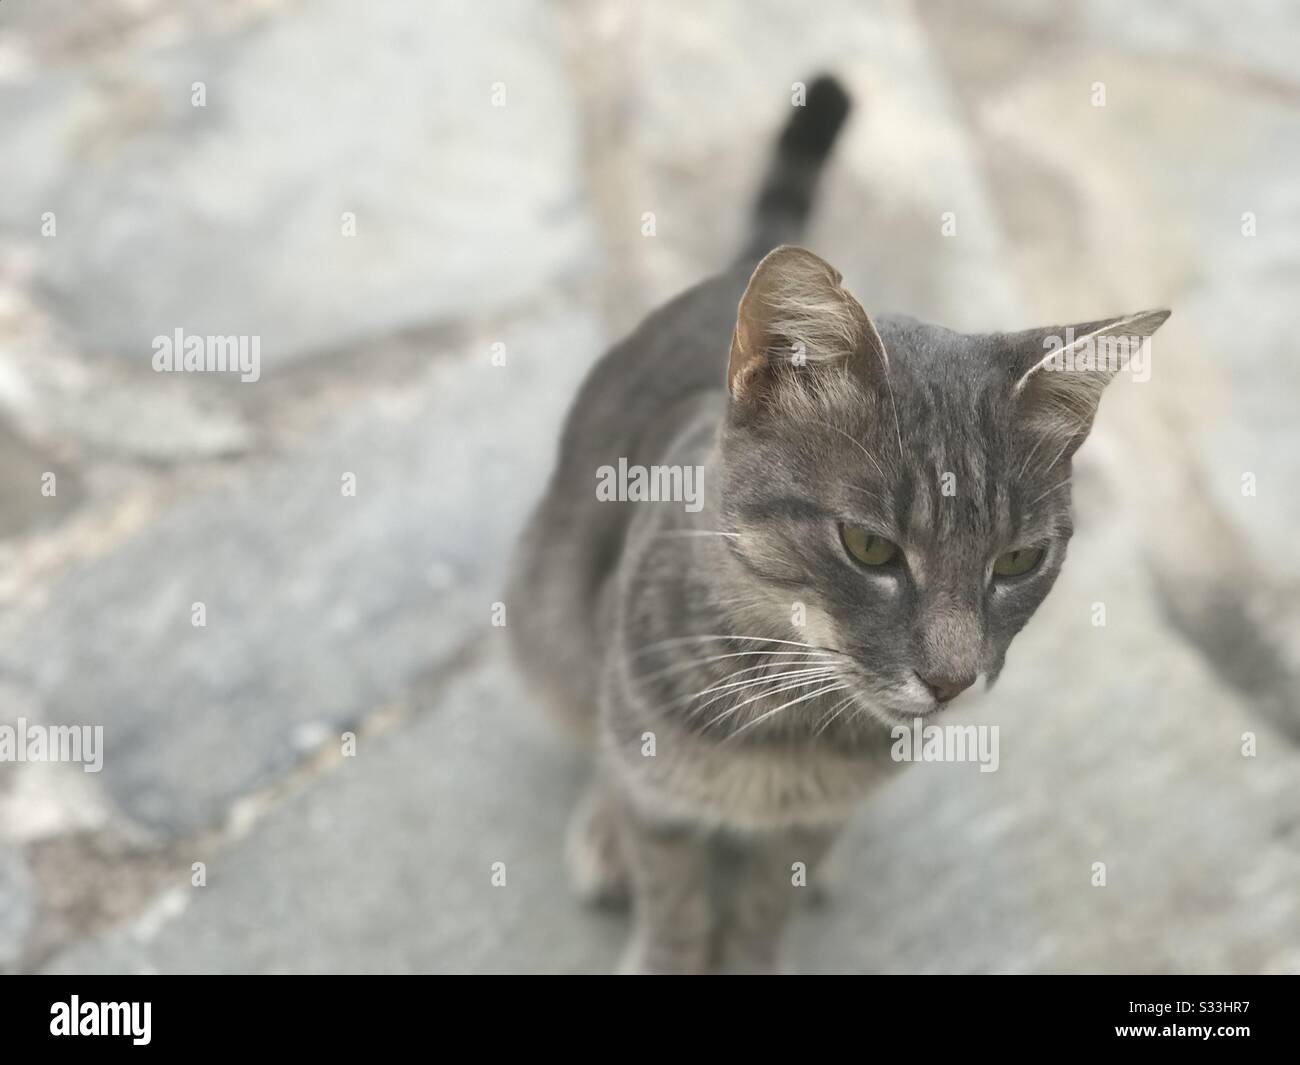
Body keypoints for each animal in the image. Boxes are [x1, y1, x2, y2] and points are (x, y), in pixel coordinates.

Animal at [504, 75, 1170, 972]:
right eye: (869, 546)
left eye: (1018, 561)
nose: (953, 678)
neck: (787, 724)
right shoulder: (658, 789)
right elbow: (672, 896)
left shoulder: (806, 825)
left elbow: (762, 907)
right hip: (547, 617)